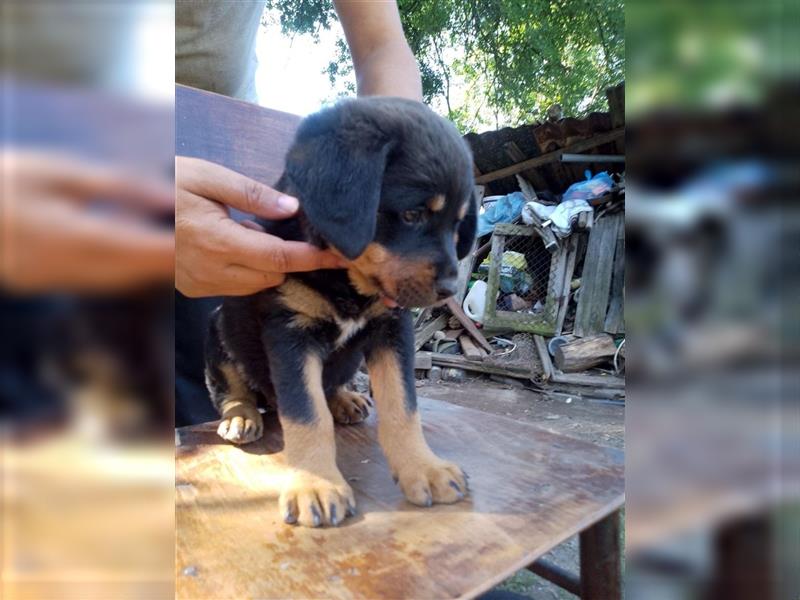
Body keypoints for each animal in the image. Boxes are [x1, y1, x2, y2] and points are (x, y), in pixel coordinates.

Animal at [205, 96, 476, 528]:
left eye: (457, 223)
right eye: (412, 214)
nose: (450, 290)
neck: (349, 283)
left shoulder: (392, 329)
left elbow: (403, 406)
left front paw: (425, 468)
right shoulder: (290, 332)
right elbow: (307, 414)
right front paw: (315, 486)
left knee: (333, 384)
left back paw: (345, 399)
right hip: (219, 328)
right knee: (233, 387)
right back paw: (241, 416)